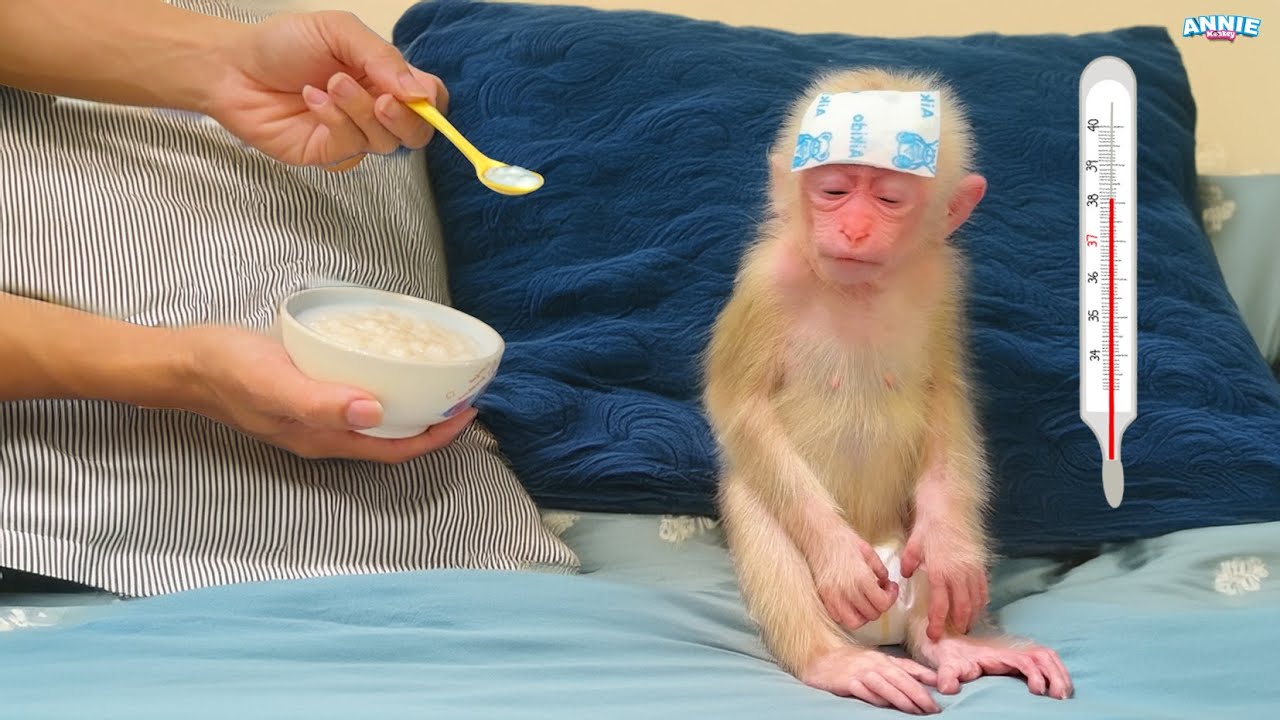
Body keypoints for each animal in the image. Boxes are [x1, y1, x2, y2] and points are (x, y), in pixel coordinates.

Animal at [702, 67, 1073, 714]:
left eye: (889, 199)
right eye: (832, 191)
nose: (853, 228)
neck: (855, 287)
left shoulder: (943, 281)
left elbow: (948, 393)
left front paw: (950, 547)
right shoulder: (765, 281)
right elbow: (738, 406)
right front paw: (838, 562)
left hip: (912, 561)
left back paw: (950, 641)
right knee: (766, 517)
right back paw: (835, 659)